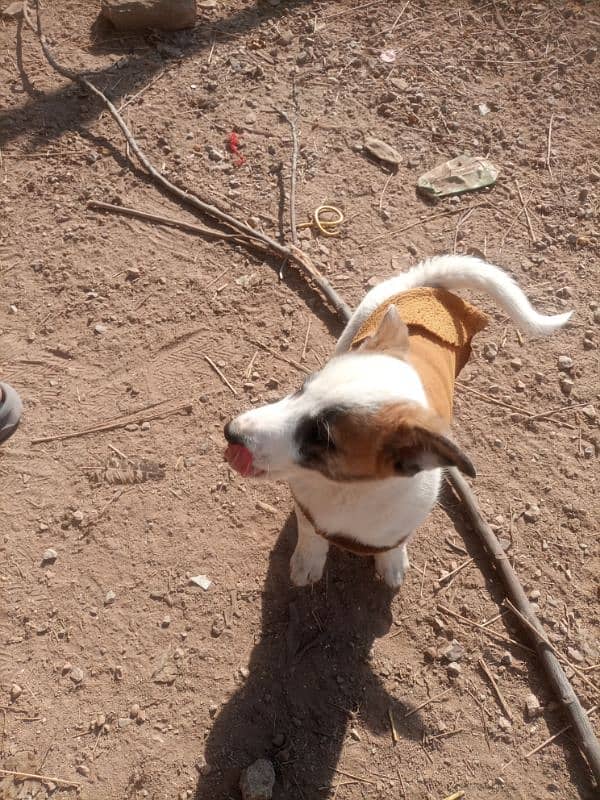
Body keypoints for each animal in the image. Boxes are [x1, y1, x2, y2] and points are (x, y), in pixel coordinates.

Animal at [225, 256, 572, 588]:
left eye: (323, 438)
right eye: (301, 388)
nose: (231, 433)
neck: (348, 491)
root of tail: (427, 286)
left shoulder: (399, 527)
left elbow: (391, 546)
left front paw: (391, 565)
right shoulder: (307, 509)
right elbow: (311, 534)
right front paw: (307, 563)